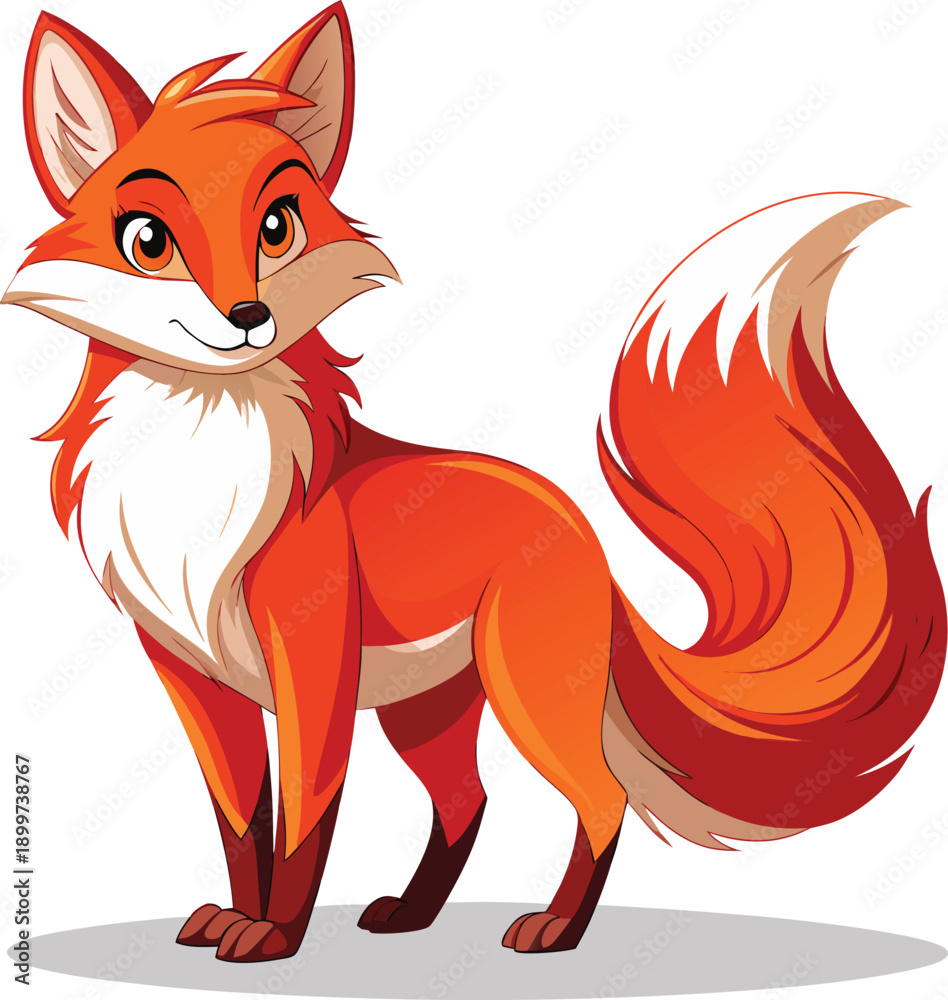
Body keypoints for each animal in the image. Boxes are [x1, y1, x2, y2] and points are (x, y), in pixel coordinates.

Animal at [5, 3, 945, 965]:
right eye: (147, 241)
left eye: (277, 226)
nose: (248, 316)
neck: (197, 480)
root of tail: (580, 526)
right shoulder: (189, 673)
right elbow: (241, 821)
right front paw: (238, 913)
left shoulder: (310, 661)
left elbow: (305, 816)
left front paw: (274, 936)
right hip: (428, 713)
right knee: (469, 802)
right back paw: (413, 915)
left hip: (525, 692)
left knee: (600, 798)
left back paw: (556, 930)